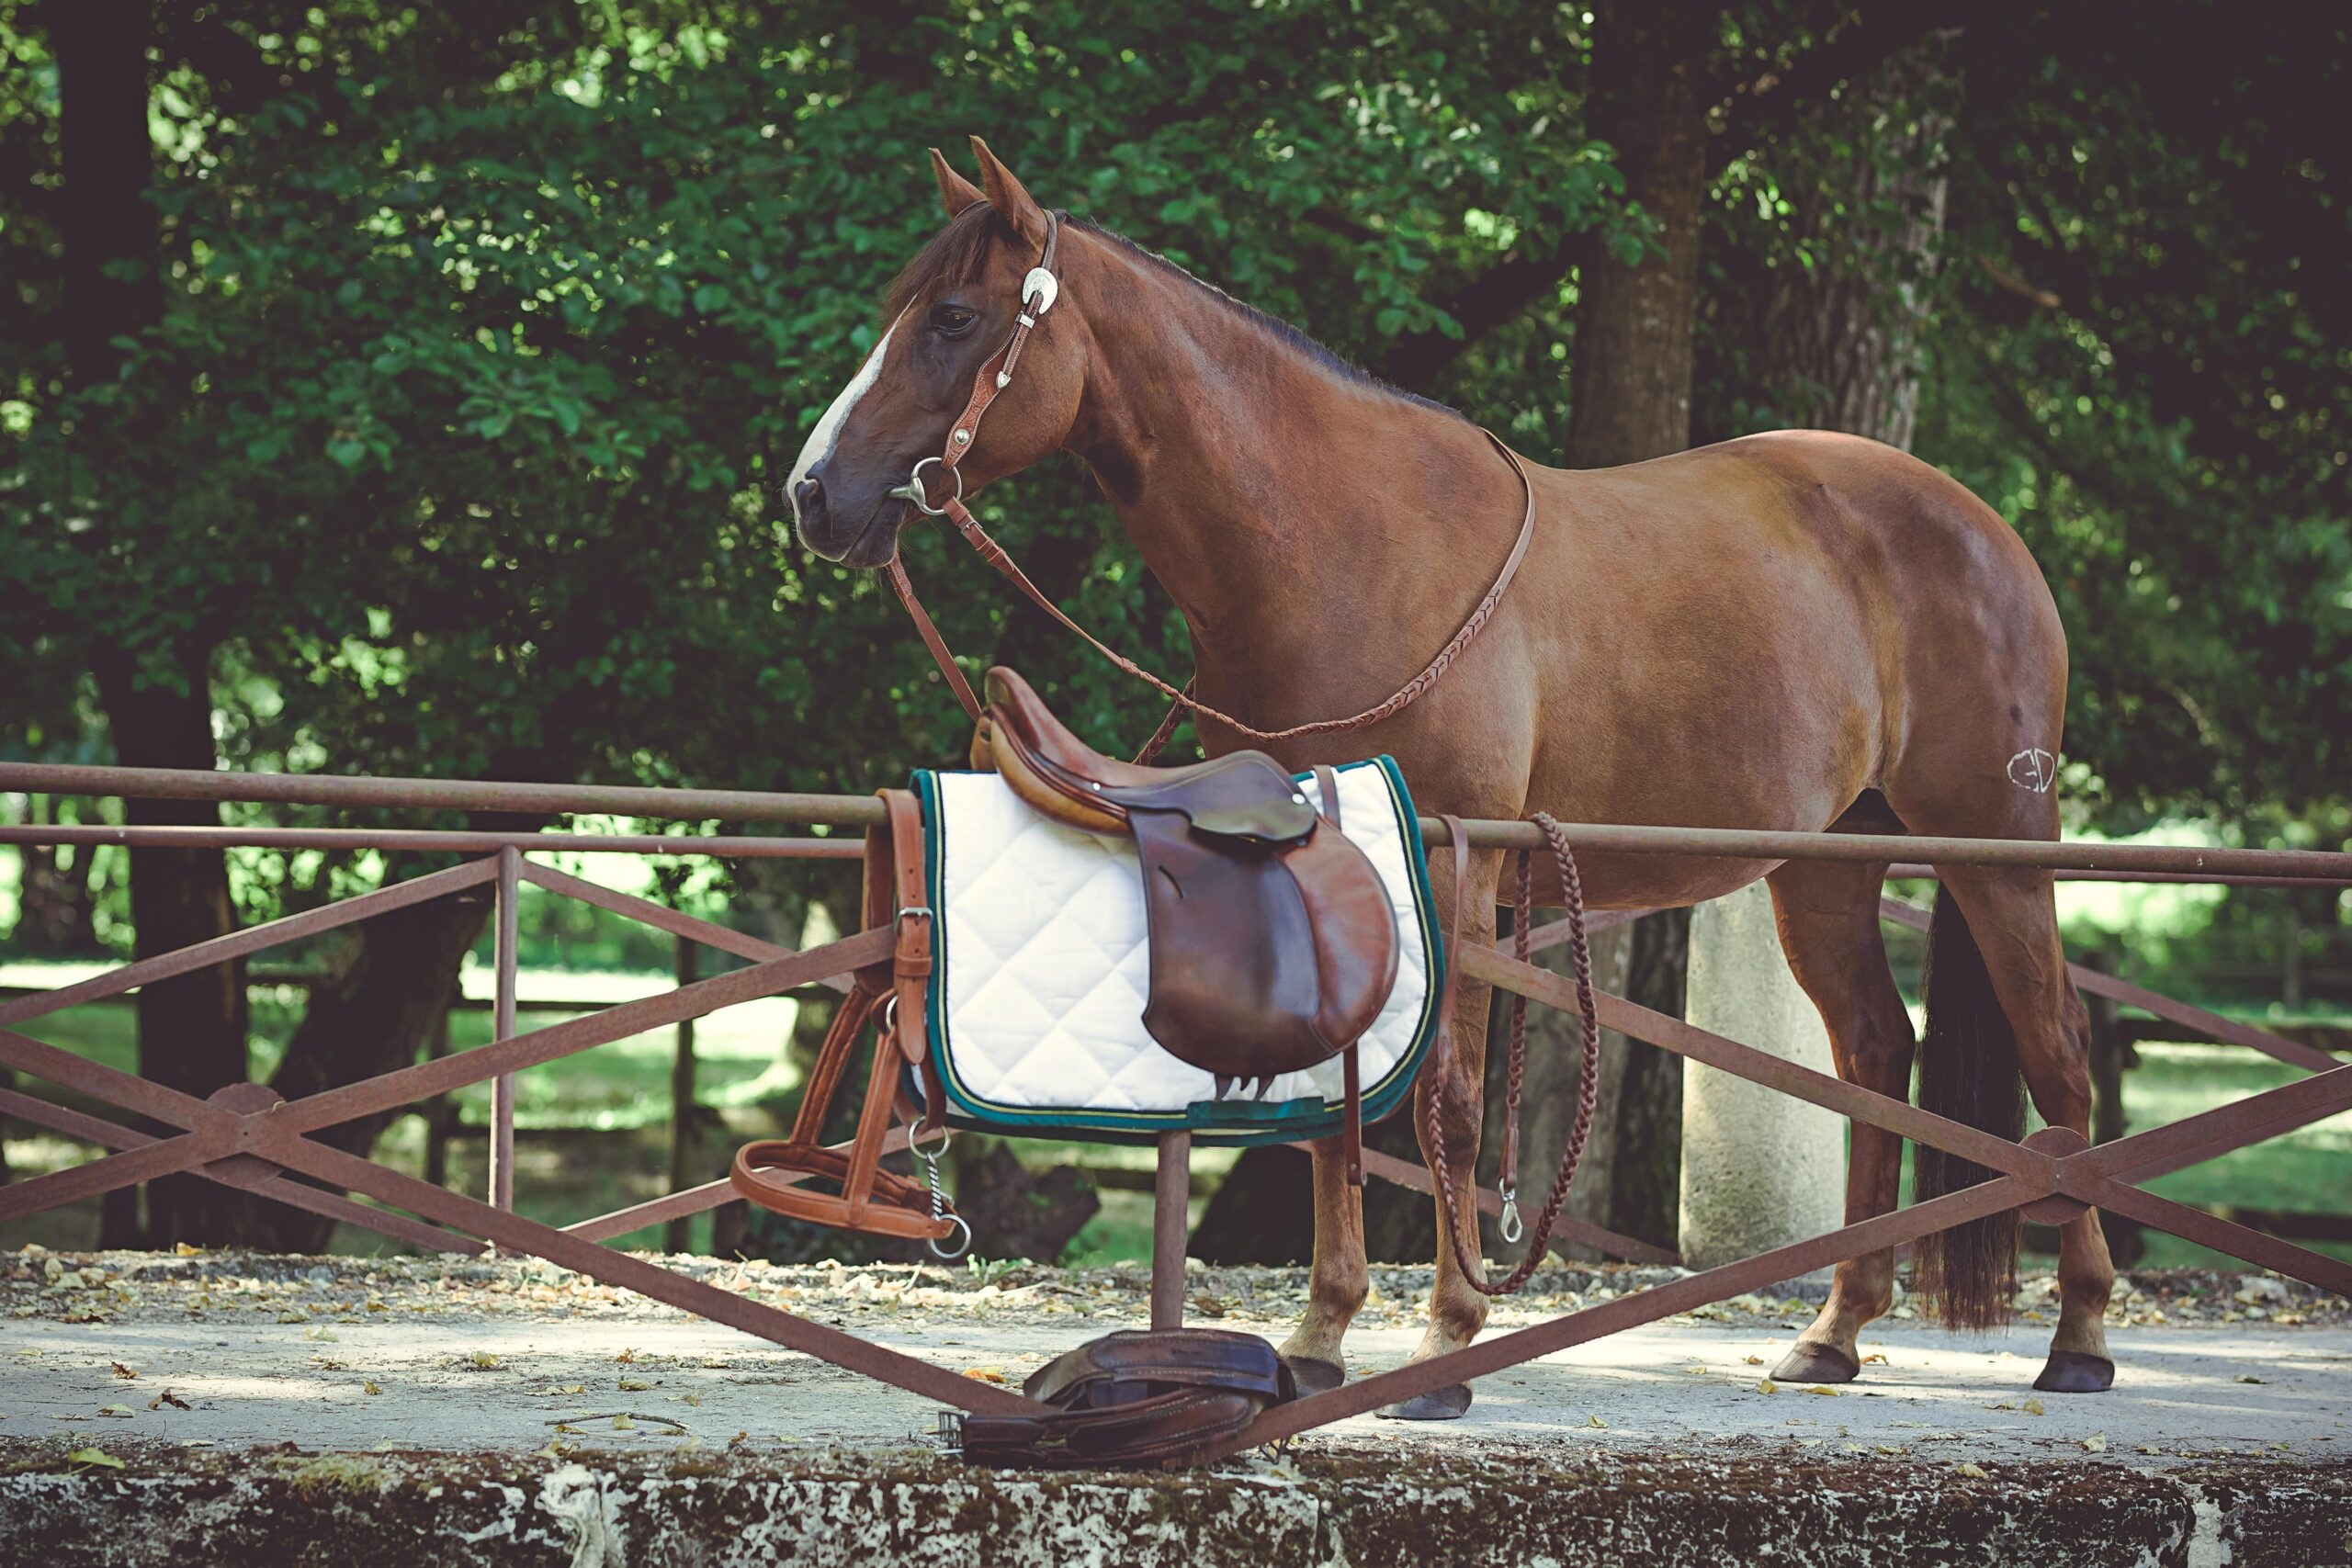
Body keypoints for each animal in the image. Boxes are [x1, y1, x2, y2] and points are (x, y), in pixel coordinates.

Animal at [784, 136, 2114, 1419]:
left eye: (955, 316)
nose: (812, 494)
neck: (1342, 547)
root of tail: (1982, 526)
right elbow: (1337, 1098)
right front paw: (1319, 1340)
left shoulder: (1460, 876)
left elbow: (1450, 1104)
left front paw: (1445, 1344)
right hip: (1828, 870)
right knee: (1879, 1053)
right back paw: (1834, 1331)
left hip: (1997, 846)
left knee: (2056, 1052)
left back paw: (2081, 1339)